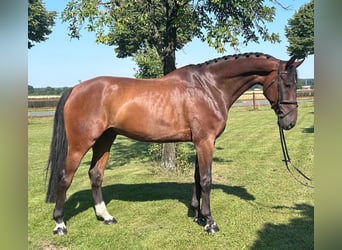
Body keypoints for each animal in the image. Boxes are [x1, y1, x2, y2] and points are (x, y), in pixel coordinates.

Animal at [46, 51, 304, 234]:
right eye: (287, 84)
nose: (290, 122)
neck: (209, 87)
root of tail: (75, 88)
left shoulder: (200, 141)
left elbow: (198, 178)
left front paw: (198, 215)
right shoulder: (205, 141)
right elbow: (207, 180)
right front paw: (210, 222)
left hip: (105, 140)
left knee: (96, 175)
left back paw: (105, 217)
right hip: (80, 145)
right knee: (65, 178)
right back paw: (60, 224)